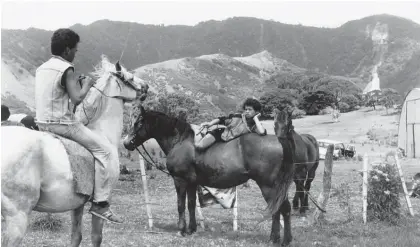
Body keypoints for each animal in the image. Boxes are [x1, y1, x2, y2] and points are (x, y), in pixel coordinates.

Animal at [0, 56, 148, 247]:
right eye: (129, 77)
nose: (146, 87)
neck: (102, 133)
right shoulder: (101, 199)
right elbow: (96, 236)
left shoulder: (77, 203)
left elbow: (76, 236)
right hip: (17, 217)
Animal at [123, 107, 296, 246]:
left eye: (139, 123)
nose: (126, 143)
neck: (180, 141)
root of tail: (280, 141)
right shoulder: (192, 183)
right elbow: (191, 205)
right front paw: (191, 229)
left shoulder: (180, 181)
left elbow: (180, 205)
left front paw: (181, 230)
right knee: (284, 209)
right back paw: (283, 239)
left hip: (269, 186)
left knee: (278, 209)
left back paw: (276, 239)